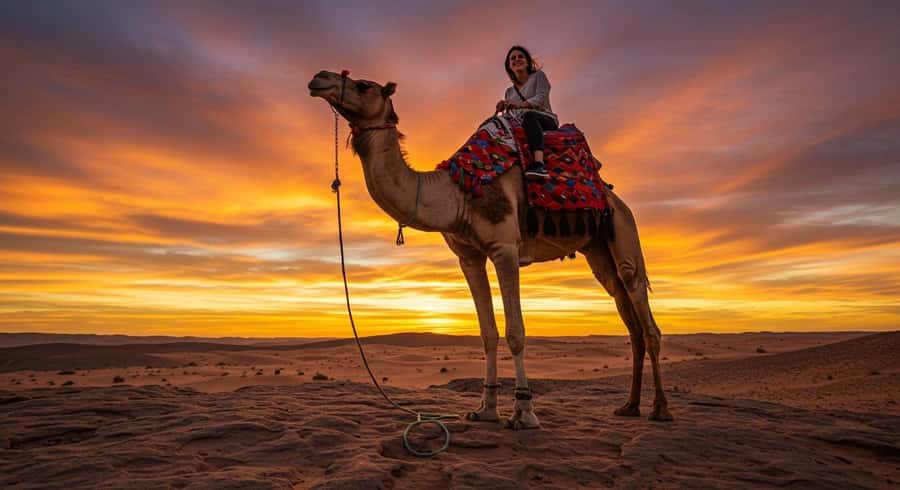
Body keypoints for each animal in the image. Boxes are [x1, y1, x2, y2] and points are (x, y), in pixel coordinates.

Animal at [309, 70, 673, 429]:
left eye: (363, 85)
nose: (319, 78)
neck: (458, 192)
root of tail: (614, 197)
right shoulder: (469, 257)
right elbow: (487, 333)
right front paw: (485, 409)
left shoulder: (504, 248)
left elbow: (515, 332)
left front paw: (523, 412)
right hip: (597, 250)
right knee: (626, 312)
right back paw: (629, 406)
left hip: (624, 230)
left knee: (642, 308)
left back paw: (660, 409)